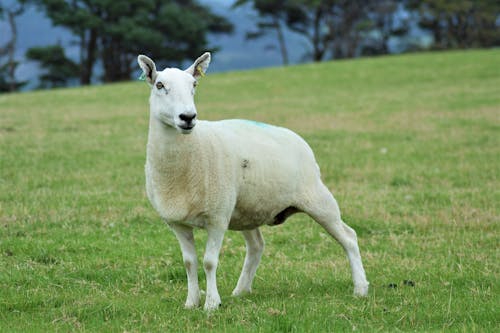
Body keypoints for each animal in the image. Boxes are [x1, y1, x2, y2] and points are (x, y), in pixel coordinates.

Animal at [139, 52, 370, 312]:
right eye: (160, 85)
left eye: (194, 85)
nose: (188, 117)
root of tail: (297, 138)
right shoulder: (177, 223)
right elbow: (190, 263)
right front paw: (191, 302)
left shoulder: (218, 217)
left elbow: (209, 262)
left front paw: (211, 304)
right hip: (246, 210)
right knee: (257, 246)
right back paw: (241, 290)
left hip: (317, 197)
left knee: (349, 237)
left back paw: (360, 288)